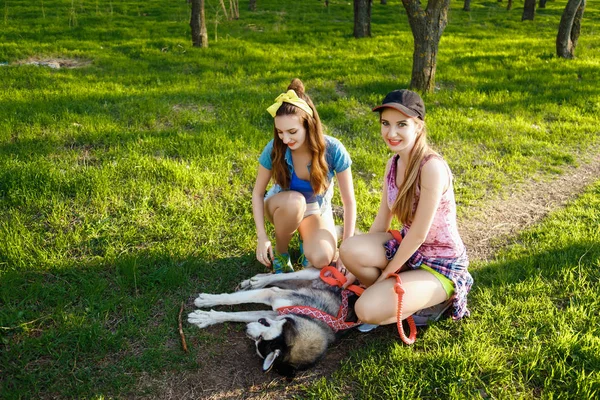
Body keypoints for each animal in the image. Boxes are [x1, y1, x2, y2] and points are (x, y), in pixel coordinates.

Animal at [188, 268, 358, 380]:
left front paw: (207, 317)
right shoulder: (273, 296)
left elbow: (238, 315)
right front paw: (208, 302)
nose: (246, 329)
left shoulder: (273, 312)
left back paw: (253, 282)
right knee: (282, 275)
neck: (312, 319)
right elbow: (232, 299)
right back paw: (257, 281)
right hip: (313, 273)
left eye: (259, 340)